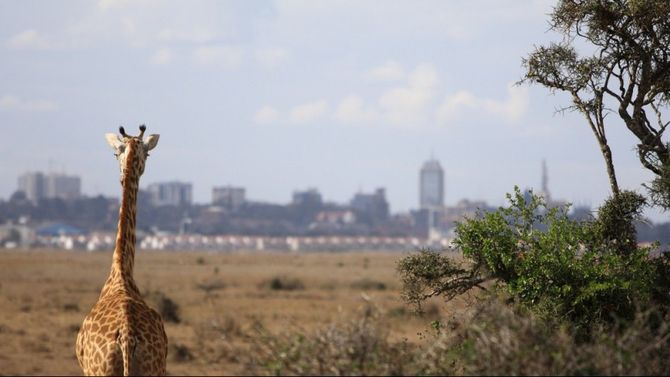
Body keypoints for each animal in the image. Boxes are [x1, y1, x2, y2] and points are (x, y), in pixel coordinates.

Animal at [76, 125, 168, 374]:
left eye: (147, 154)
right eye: (116, 154)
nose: (120, 176)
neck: (121, 271)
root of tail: (127, 338)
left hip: (104, 371)